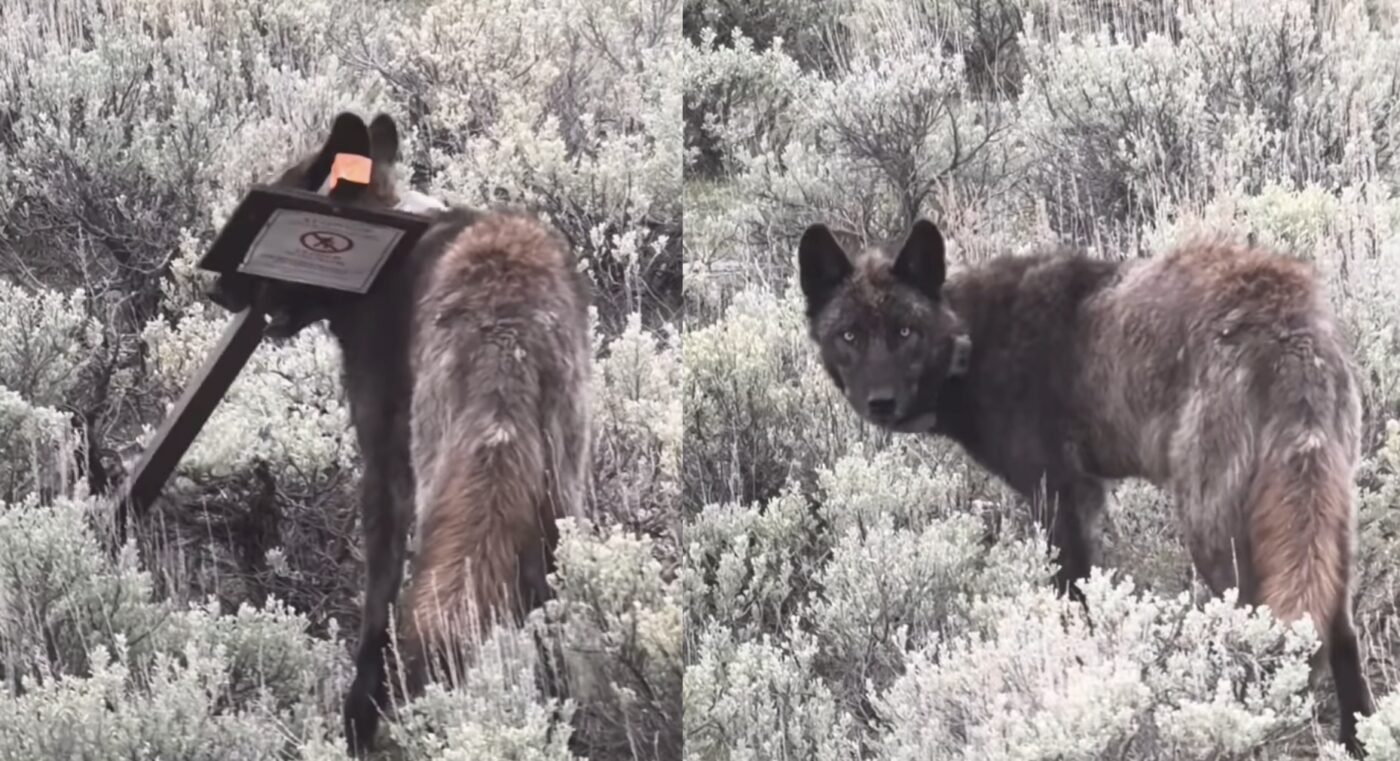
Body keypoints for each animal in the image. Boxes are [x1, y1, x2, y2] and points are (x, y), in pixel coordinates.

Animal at [234, 111, 592, 753]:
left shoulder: (383, 456)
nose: (220, 290)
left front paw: (360, 710)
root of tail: (513, 328)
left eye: (285, 192)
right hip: (560, 501)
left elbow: (378, 598)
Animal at [797, 218, 1375, 754]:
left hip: (1216, 537)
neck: (972, 342)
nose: (880, 402)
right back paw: (1358, 741)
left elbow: (1073, 606)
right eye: (849, 335)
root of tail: (1286, 318)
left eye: (903, 332)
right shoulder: (1089, 498)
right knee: (1342, 636)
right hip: (1325, 531)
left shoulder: (1061, 499)